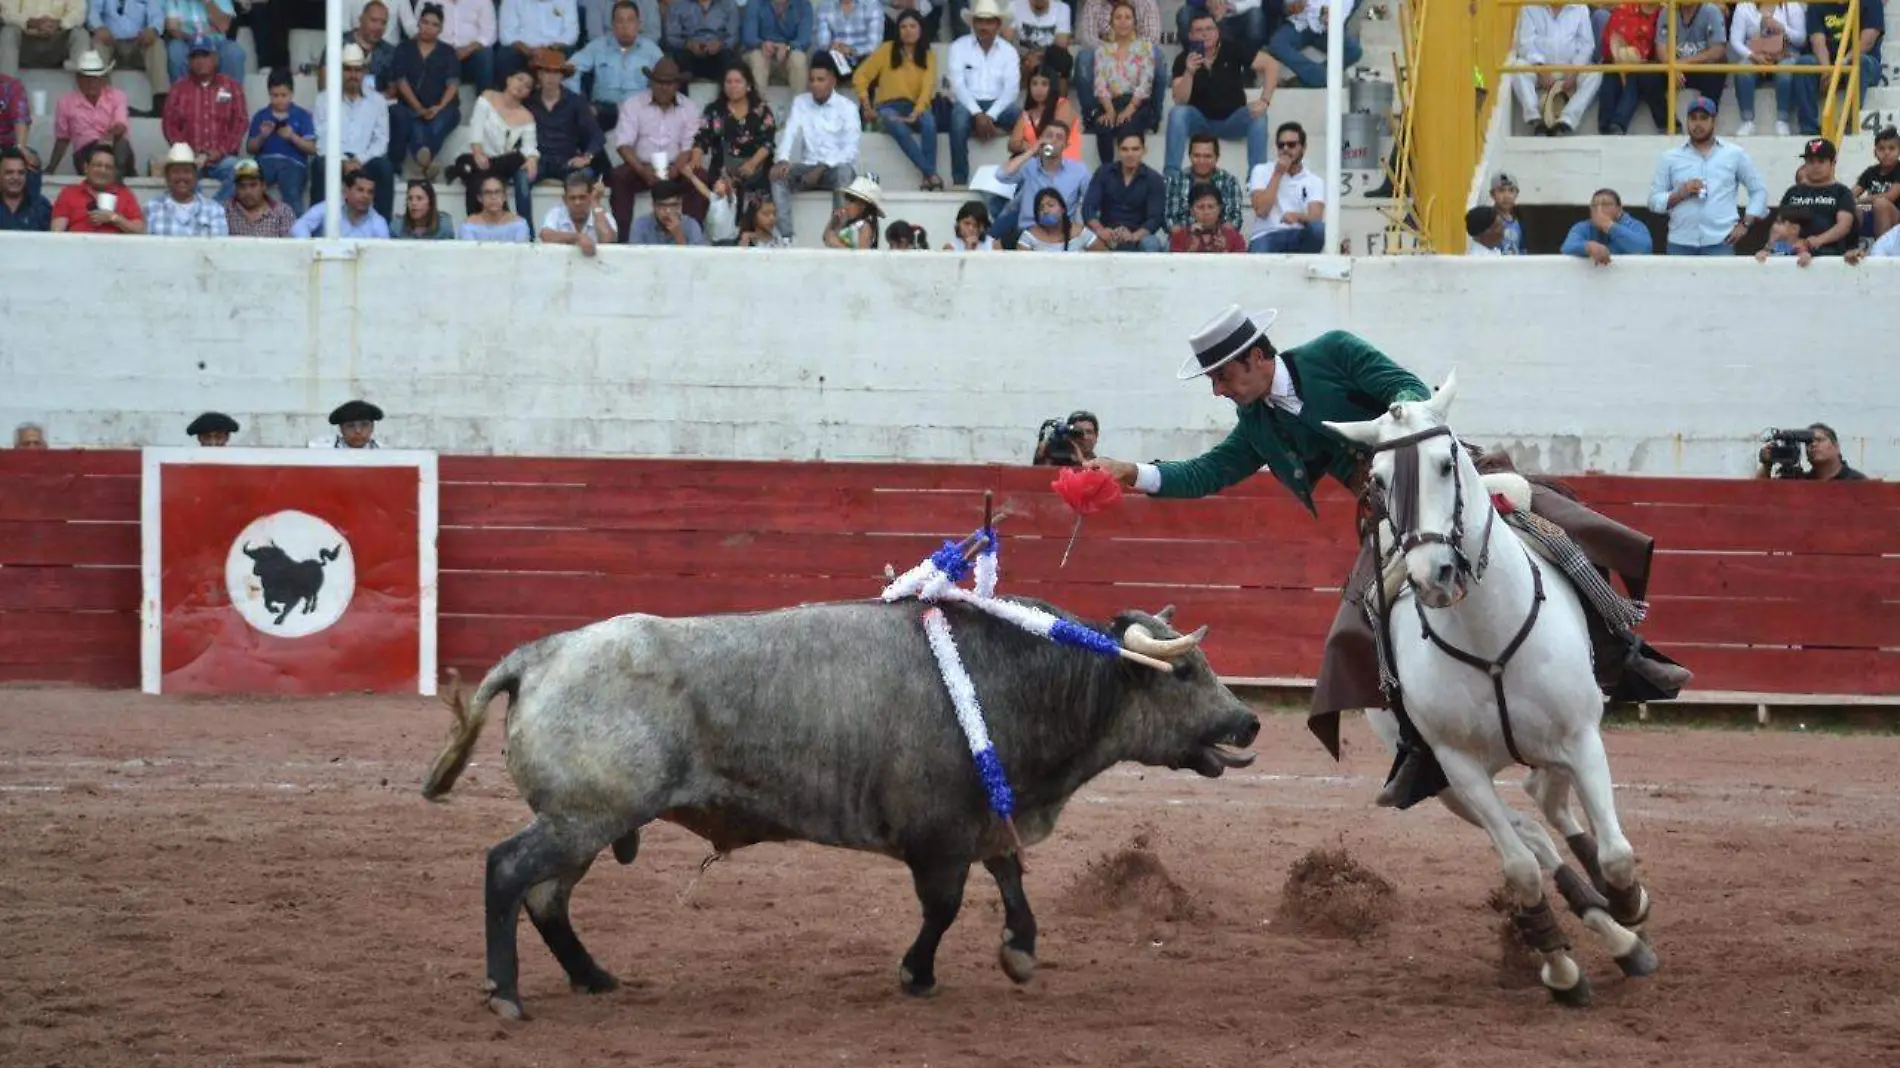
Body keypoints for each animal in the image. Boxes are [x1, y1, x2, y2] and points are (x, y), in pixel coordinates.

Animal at [423, 592, 1269, 1018]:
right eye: (1185, 671)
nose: (1248, 722)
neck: (1015, 678)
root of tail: (544, 653)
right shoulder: (938, 837)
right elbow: (945, 906)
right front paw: (917, 974)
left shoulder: (981, 817)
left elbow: (1009, 876)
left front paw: (1021, 950)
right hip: (584, 817)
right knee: (507, 872)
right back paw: (506, 994)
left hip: (590, 822)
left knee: (547, 899)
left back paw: (592, 977)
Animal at [1330, 370, 1656, 1003]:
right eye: (1377, 480)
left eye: (1446, 462)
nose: (1433, 575)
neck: (1486, 633)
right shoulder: (1458, 767)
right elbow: (1521, 868)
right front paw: (1561, 966)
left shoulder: (1581, 736)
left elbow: (1618, 852)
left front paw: (1631, 902)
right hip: (1442, 784)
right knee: (1532, 831)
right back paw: (1606, 936)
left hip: (1553, 743)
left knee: (1549, 804)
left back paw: (1619, 923)